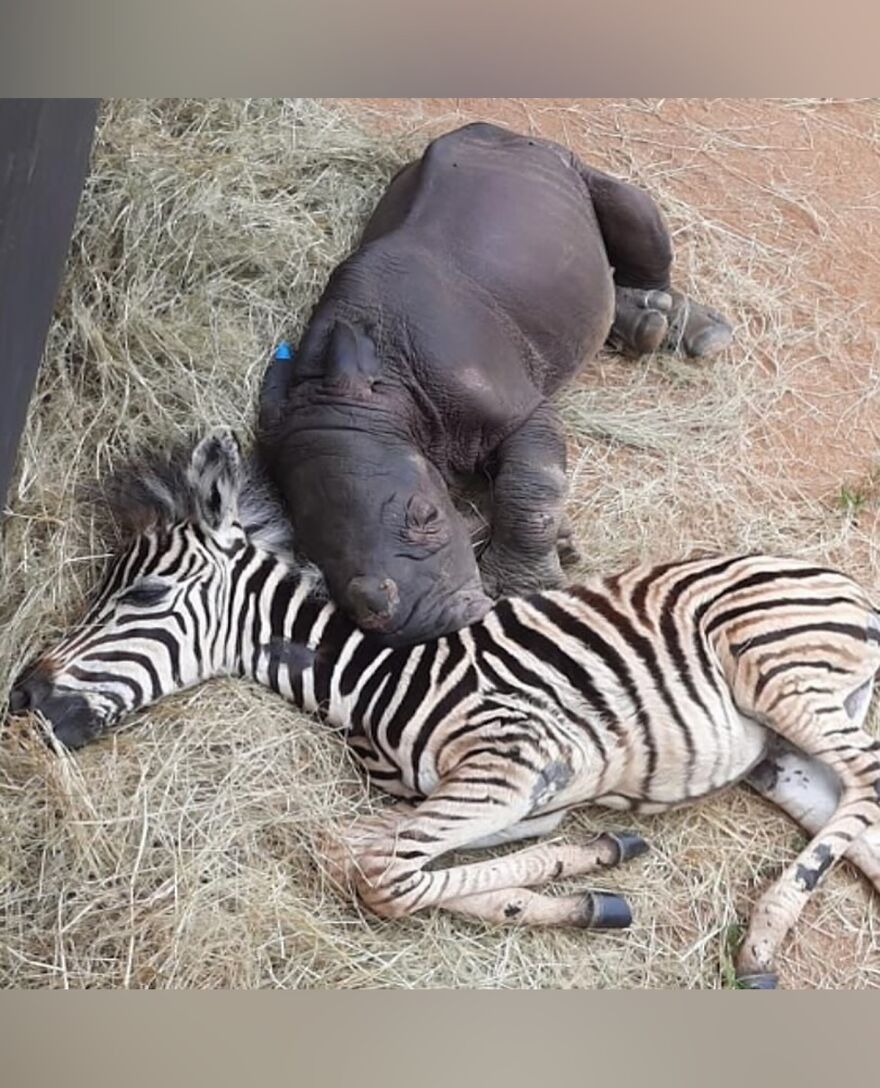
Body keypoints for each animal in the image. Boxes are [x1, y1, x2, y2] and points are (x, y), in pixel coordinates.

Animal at [8, 429, 880, 989]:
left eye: (144, 594)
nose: (22, 697)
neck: (376, 681)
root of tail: (839, 582)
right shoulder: (514, 802)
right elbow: (353, 850)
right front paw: (590, 877)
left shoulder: (515, 767)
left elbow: (385, 876)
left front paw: (579, 879)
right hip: (781, 758)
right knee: (860, 818)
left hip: (776, 669)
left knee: (866, 783)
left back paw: (762, 939)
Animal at [259, 122, 731, 646]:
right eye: (314, 558)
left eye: (427, 516)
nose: (425, 627)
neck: (385, 393)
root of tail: (495, 131)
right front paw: (561, 544)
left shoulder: (519, 411)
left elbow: (530, 487)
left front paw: (522, 588)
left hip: (563, 162)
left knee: (634, 208)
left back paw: (689, 331)